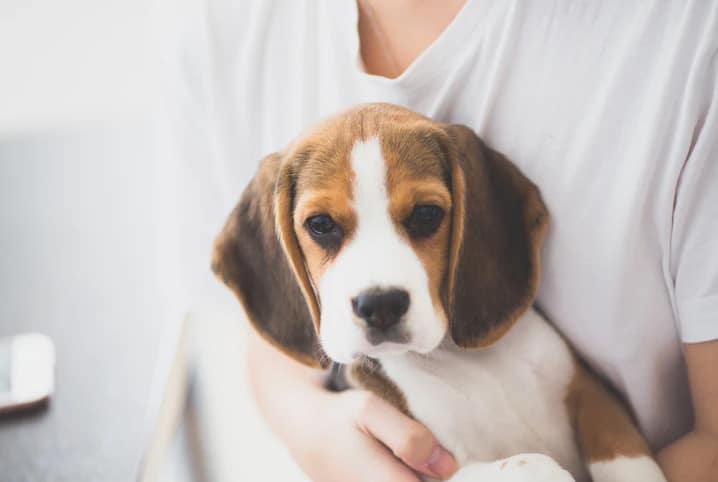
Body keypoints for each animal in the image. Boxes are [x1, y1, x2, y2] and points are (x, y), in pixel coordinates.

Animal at [212, 103, 668, 480]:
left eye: (426, 214)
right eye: (320, 225)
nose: (380, 305)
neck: (461, 359)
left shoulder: (590, 392)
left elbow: (625, 454)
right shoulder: (440, 466)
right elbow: (534, 465)